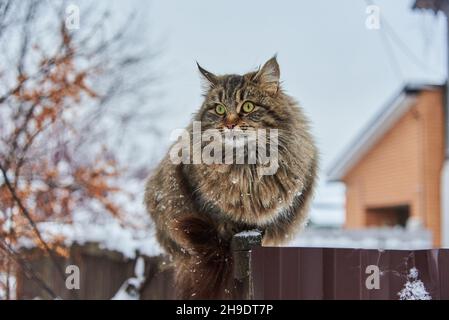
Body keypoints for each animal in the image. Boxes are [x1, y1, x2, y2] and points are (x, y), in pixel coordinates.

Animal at [145, 56, 316, 298]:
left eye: (248, 106)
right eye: (219, 109)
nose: (230, 124)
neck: (245, 166)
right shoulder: (196, 192)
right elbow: (219, 215)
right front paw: (230, 228)